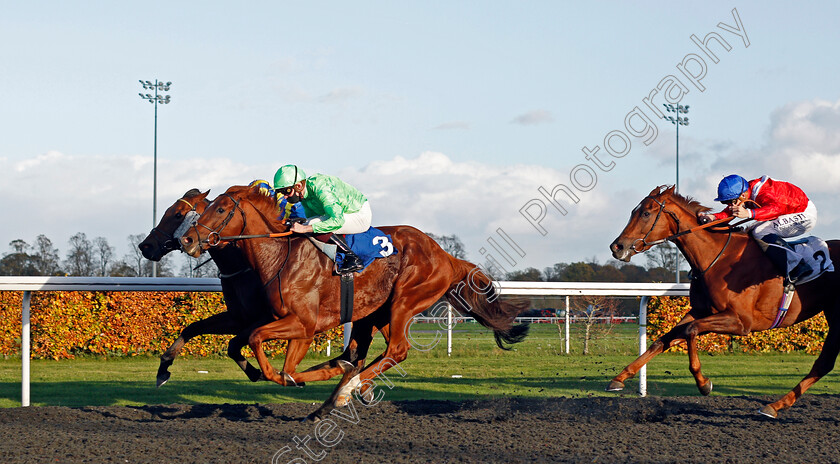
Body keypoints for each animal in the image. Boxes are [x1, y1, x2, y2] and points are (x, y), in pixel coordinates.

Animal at [180, 185, 528, 420]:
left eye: (220, 210)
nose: (187, 239)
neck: (280, 256)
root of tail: (445, 255)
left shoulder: (303, 324)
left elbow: (264, 350)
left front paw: (289, 377)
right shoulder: (285, 323)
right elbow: (272, 357)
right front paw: (311, 376)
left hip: (405, 301)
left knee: (396, 351)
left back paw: (350, 388)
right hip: (373, 314)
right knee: (361, 355)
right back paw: (334, 395)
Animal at [608, 187, 836, 418]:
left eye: (646, 213)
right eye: (634, 211)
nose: (616, 246)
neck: (718, 257)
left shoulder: (741, 322)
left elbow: (690, 330)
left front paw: (703, 383)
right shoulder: (701, 311)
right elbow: (664, 339)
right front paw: (619, 378)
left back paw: (775, 405)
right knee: (825, 363)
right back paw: (776, 405)